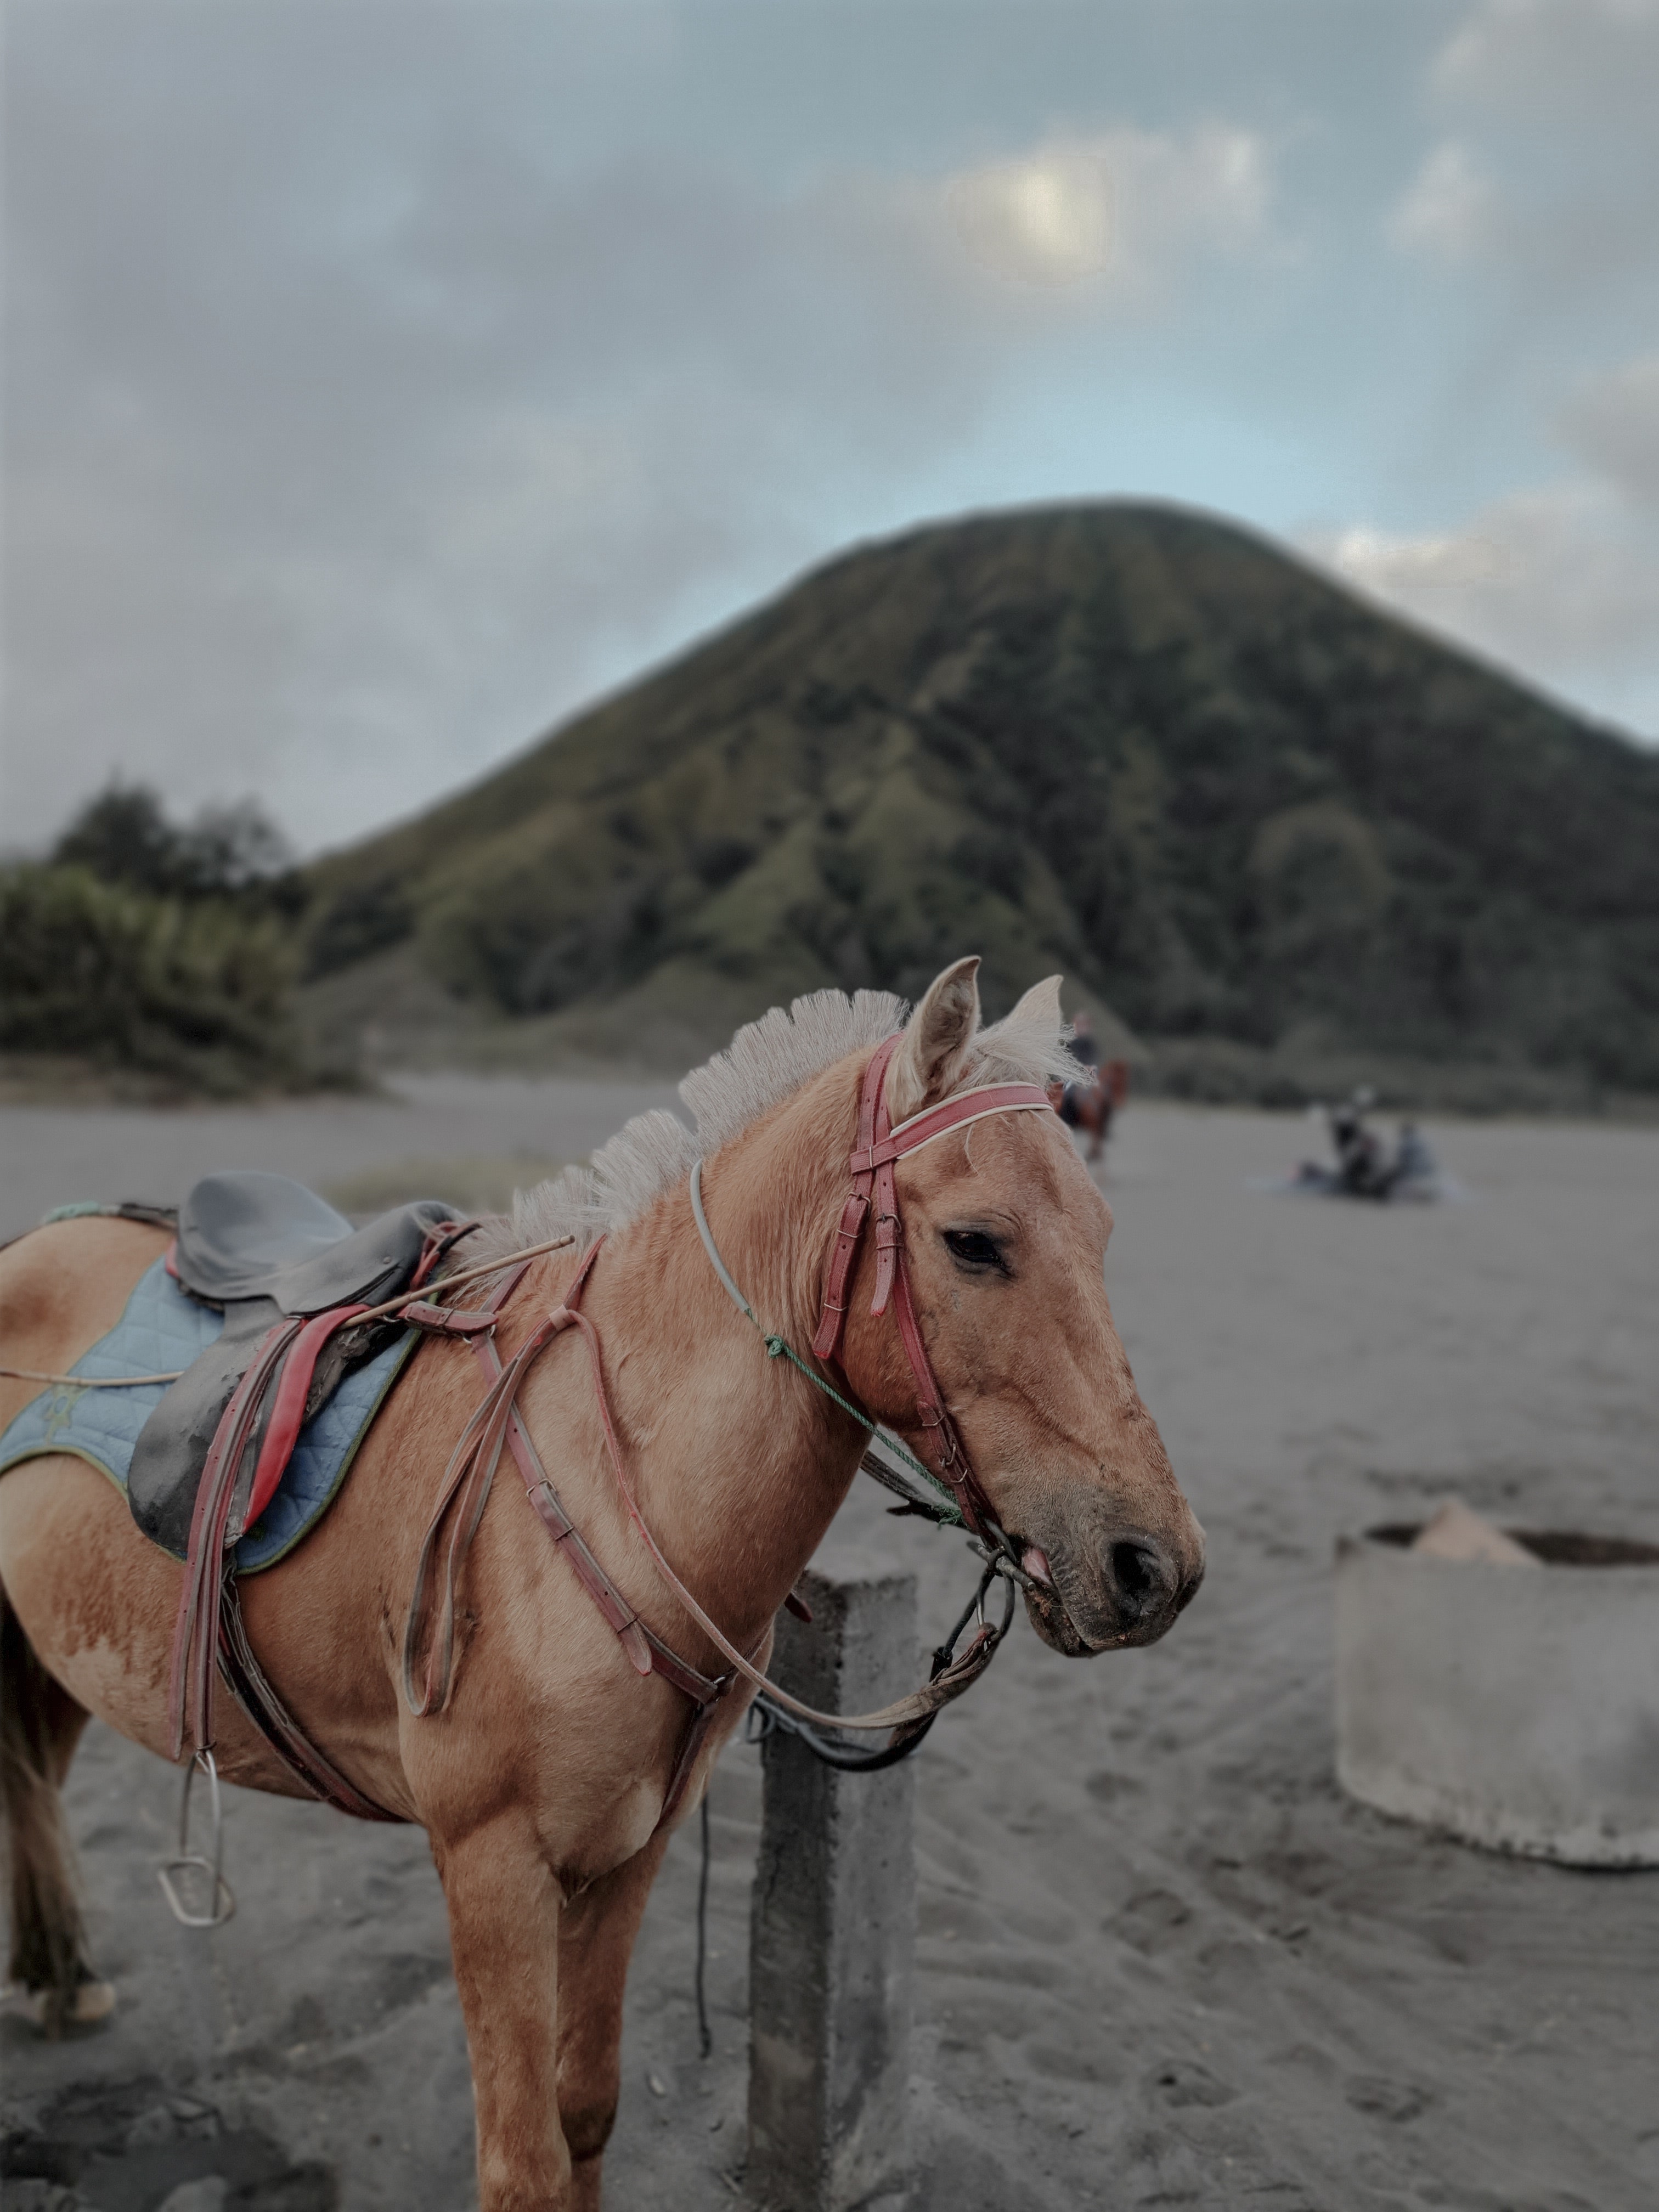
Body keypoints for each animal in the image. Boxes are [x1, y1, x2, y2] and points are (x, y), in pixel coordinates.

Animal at [0, 964, 1203, 2212]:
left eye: (1101, 1233)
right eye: (974, 1243)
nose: (1152, 1566)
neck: (603, 1492)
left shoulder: (628, 1855)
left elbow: (585, 2113)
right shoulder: (492, 1867)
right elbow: (523, 2163)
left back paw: (61, 1973)